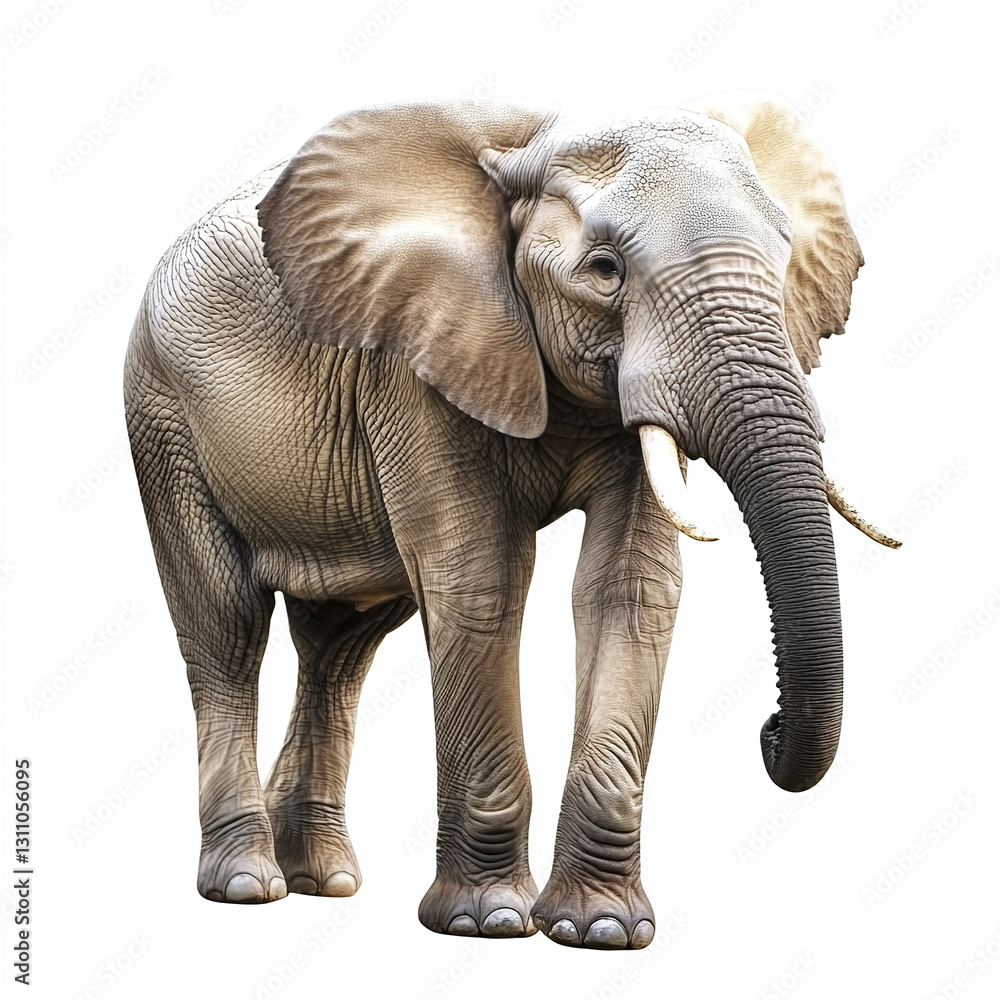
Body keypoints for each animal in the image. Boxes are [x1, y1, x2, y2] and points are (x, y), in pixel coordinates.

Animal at [124, 91, 899, 950]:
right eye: (604, 270)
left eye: (785, 260)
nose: (768, 732)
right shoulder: (414, 357)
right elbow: (482, 580)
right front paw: (487, 921)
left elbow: (629, 589)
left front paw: (601, 931)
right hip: (161, 412)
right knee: (228, 629)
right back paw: (246, 885)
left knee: (341, 647)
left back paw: (325, 881)